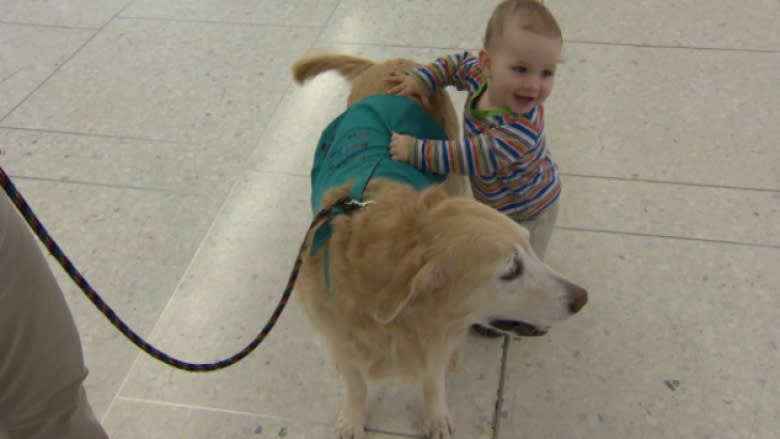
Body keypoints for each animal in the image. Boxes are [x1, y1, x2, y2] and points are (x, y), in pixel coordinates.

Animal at [290, 53, 584, 438]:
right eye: (511, 270)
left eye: (528, 247)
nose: (582, 298)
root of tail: (388, 61)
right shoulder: (339, 336)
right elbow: (356, 382)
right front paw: (353, 417)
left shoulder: (436, 340)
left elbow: (433, 379)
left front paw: (436, 415)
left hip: (455, 173)